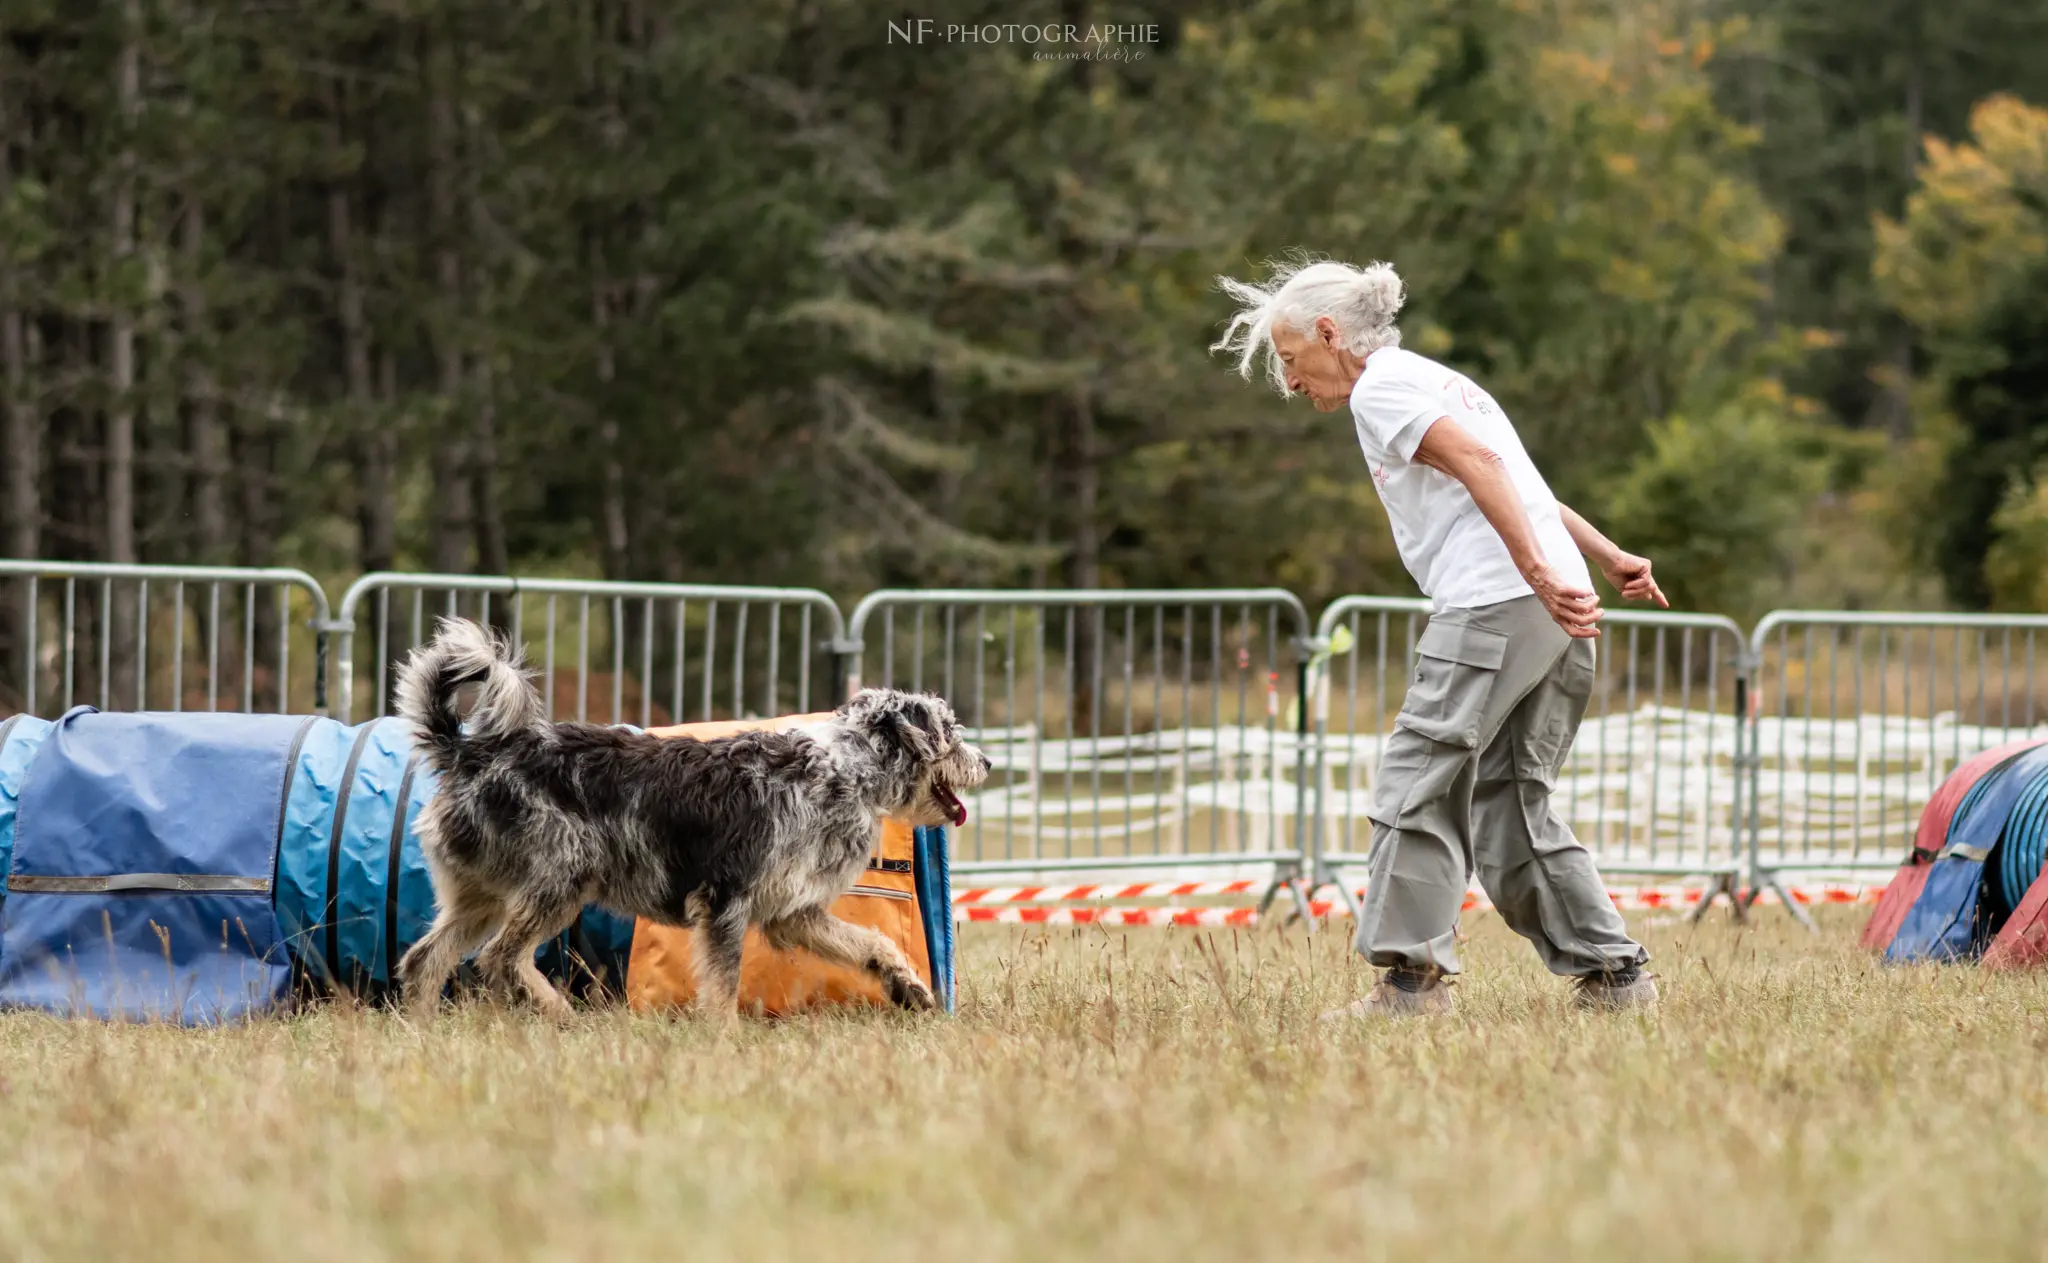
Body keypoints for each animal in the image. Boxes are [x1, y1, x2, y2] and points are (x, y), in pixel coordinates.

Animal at [393, 614, 991, 1019]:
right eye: (950, 731)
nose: (986, 761)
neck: (844, 768)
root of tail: (468, 752)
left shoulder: (794, 913)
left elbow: (871, 944)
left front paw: (908, 986)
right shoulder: (725, 900)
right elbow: (723, 989)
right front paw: (724, 1041)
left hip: (481, 897)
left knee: (425, 959)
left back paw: (427, 1029)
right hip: (559, 880)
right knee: (499, 958)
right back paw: (558, 1013)